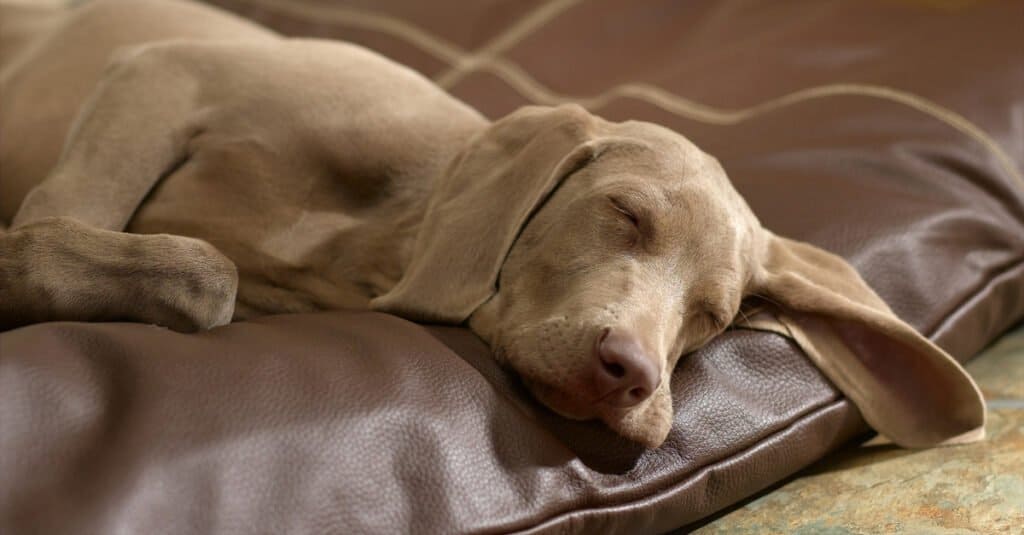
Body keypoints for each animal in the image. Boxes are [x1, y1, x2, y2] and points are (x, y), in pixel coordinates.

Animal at [0, 0, 983, 444]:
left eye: (716, 314)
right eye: (623, 213)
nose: (631, 374)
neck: (386, 230)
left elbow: (212, 277)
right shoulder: (160, 70)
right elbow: (165, 248)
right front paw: (17, 265)